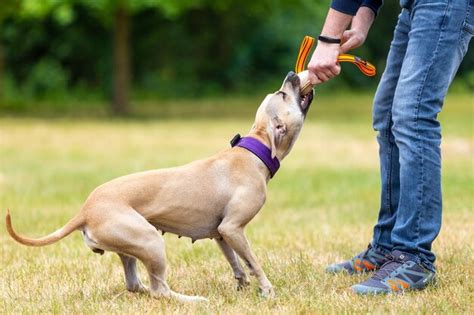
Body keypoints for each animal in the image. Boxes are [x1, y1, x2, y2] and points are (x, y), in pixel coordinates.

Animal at [6, 72, 314, 304]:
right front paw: (267, 289)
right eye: (282, 94)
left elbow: (236, 264)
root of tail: (84, 211)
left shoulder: (223, 233)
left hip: (131, 246)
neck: (255, 150)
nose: (292, 74)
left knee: (136, 284)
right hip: (151, 241)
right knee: (159, 290)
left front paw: (242, 287)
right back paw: (193, 300)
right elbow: (253, 262)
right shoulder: (234, 228)